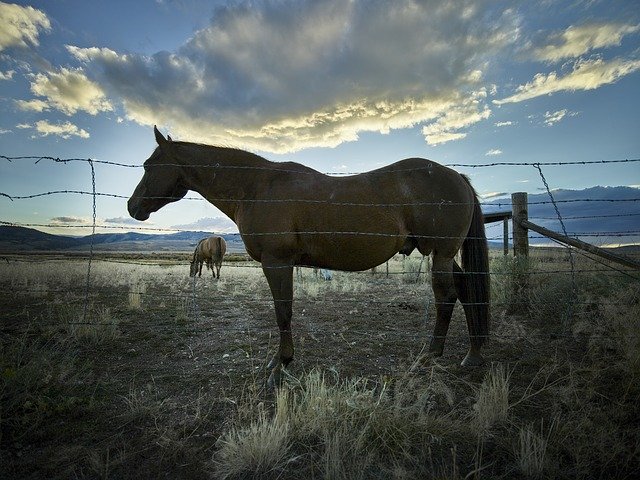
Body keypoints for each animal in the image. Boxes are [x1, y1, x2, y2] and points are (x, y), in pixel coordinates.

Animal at [130, 125, 490, 384]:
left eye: (149, 166)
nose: (133, 207)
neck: (256, 188)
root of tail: (456, 177)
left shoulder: (277, 262)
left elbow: (283, 312)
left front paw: (281, 365)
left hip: (440, 253)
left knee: (448, 296)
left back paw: (433, 354)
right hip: (444, 255)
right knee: (466, 289)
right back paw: (473, 353)